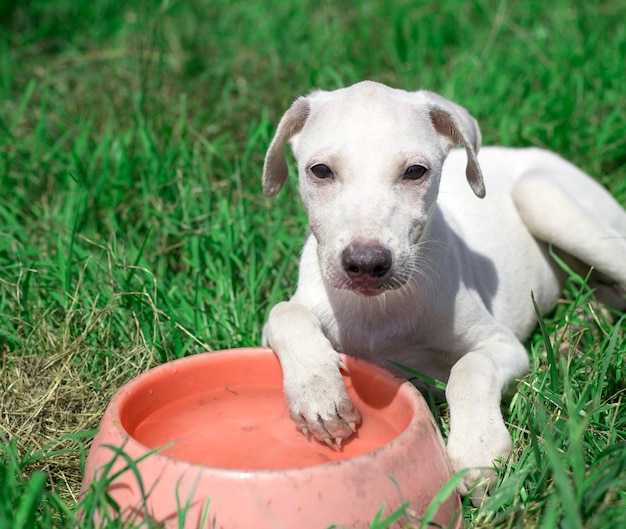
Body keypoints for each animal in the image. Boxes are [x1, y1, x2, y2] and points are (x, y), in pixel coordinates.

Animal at [260, 80, 624, 502]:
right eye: (320, 171)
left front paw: (477, 450)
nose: (366, 264)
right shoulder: (295, 311)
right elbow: (284, 313)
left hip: (545, 199)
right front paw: (319, 395)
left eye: (415, 171)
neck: (378, 310)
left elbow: (469, 368)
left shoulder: (504, 345)